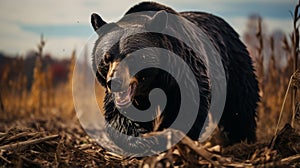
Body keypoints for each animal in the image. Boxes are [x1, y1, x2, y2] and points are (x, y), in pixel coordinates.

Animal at [90, 1, 258, 151]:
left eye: (132, 57)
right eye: (106, 58)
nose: (114, 82)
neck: (152, 81)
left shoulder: (184, 72)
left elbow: (188, 107)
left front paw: (169, 138)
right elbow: (120, 116)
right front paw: (142, 140)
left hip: (234, 65)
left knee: (241, 104)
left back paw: (243, 141)